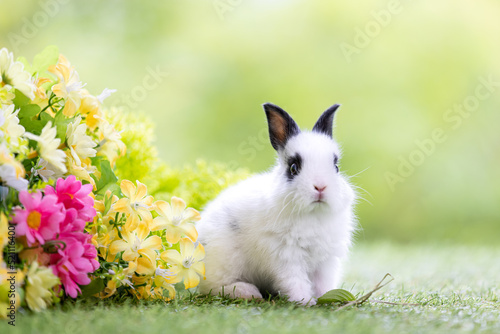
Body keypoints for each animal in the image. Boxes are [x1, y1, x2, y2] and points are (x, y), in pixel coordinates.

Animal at [195, 102, 356, 306]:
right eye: (293, 168)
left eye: (336, 167)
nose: (320, 186)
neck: (313, 214)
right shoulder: (286, 257)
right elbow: (295, 281)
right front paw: (304, 302)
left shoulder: (325, 261)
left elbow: (322, 283)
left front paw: (326, 298)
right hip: (225, 261)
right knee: (214, 287)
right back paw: (247, 292)